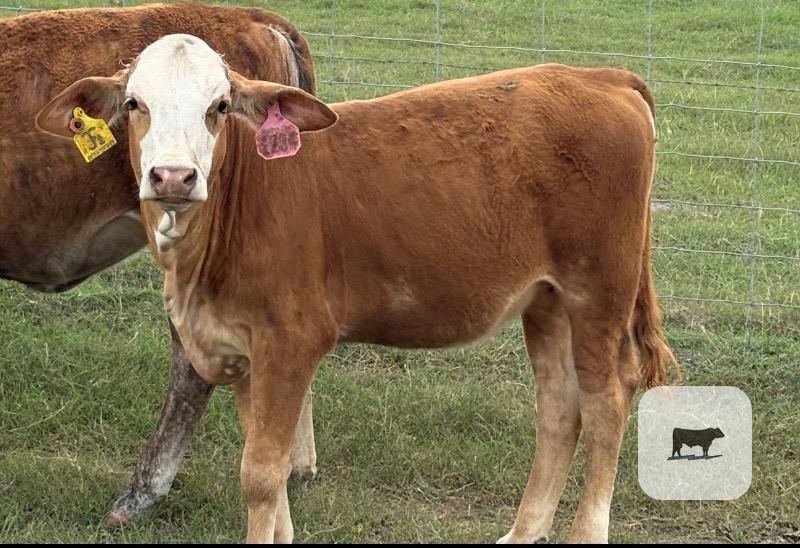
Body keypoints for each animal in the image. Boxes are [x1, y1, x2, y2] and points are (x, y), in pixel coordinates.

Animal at [0, 5, 318, 527]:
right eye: (133, 103)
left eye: (219, 106)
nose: (172, 174)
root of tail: (257, 17)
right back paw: (298, 464)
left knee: (190, 368)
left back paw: (141, 493)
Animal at [37, 34, 677, 543]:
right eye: (134, 103)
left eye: (218, 106)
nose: (173, 175)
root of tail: (601, 76)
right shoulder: (240, 350)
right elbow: (269, 471)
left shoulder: (291, 341)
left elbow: (261, 475)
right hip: (546, 300)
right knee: (559, 408)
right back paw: (523, 532)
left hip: (599, 291)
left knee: (606, 402)